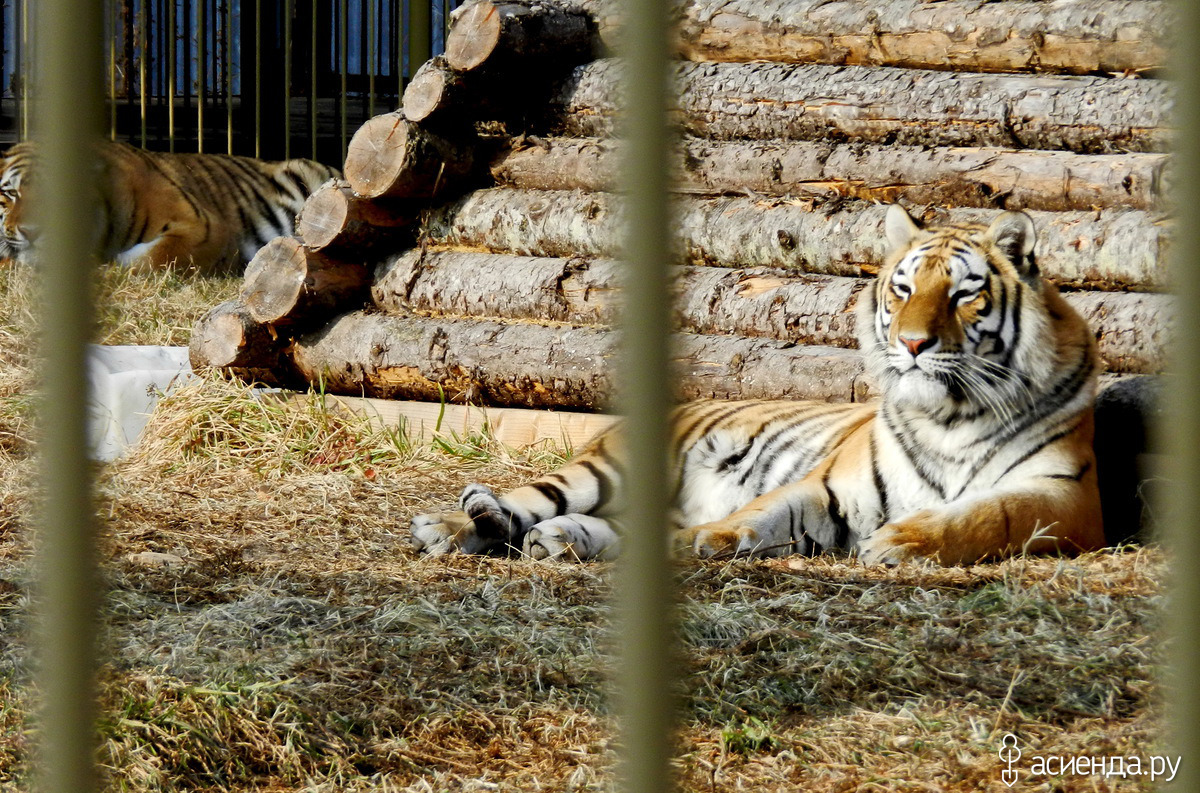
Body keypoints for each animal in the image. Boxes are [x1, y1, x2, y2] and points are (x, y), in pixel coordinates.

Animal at [412, 203, 1104, 563]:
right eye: (904, 289)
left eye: (963, 294)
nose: (912, 344)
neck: (950, 415)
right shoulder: (831, 487)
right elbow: (761, 513)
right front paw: (705, 538)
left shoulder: (1064, 496)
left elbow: (988, 516)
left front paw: (901, 539)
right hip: (606, 469)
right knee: (521, 503)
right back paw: (447, 528)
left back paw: (560, 541)